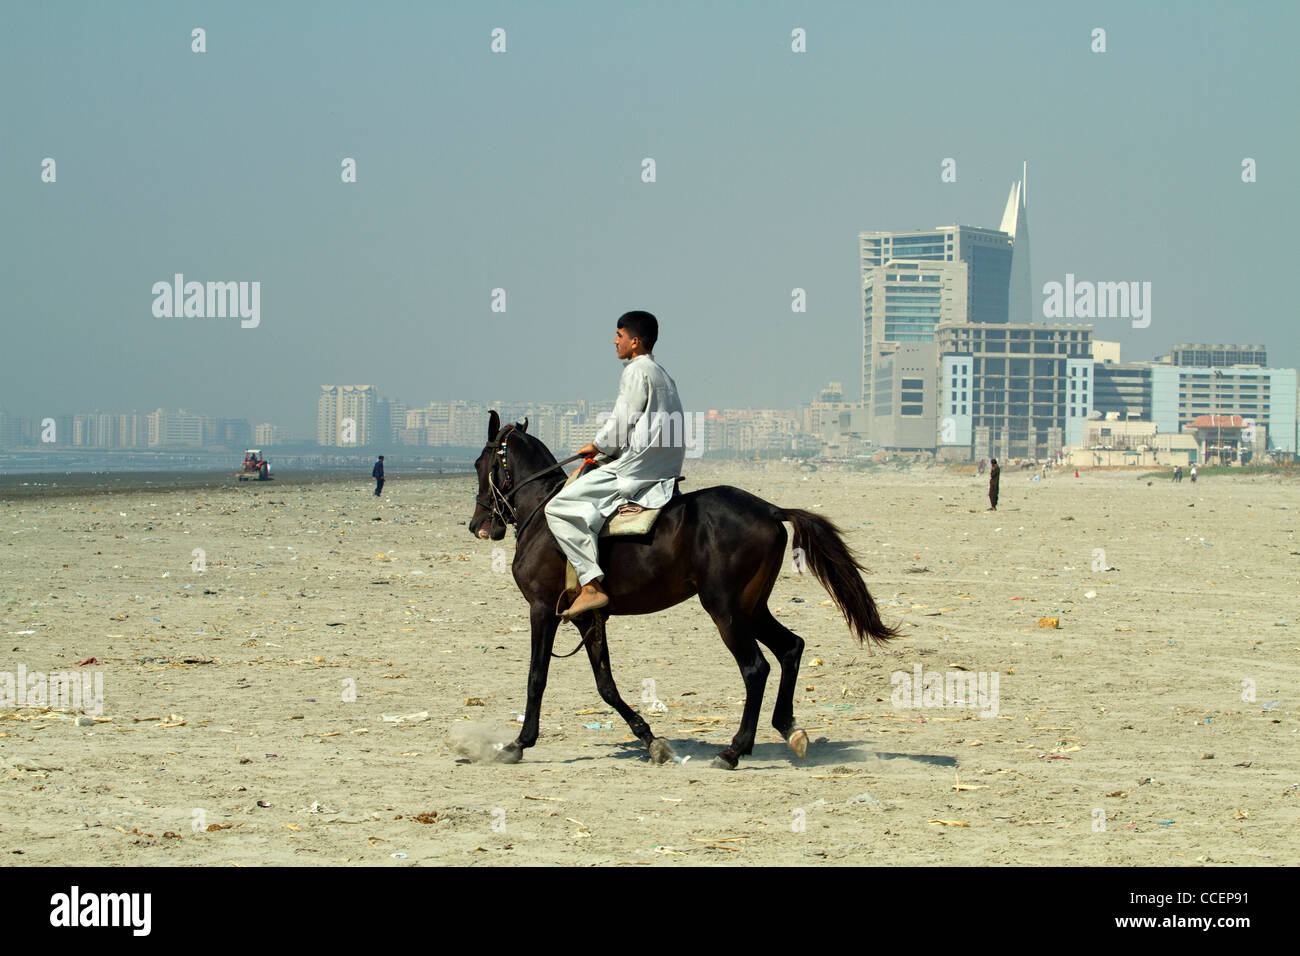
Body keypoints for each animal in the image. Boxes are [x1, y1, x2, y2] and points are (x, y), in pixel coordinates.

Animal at [467, 410, 898, 769]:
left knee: (755, 668)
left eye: (478, 464)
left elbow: (537, 676)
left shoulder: (542, 609)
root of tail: (769, 509)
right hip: (751, 607)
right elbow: (606, 684)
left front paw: (519, 743)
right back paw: (787, 728)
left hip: (724, 608)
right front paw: (650, 739)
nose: (477, 525)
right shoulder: (588, 618)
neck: (543, 515)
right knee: (791, 647)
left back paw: (734, 749)